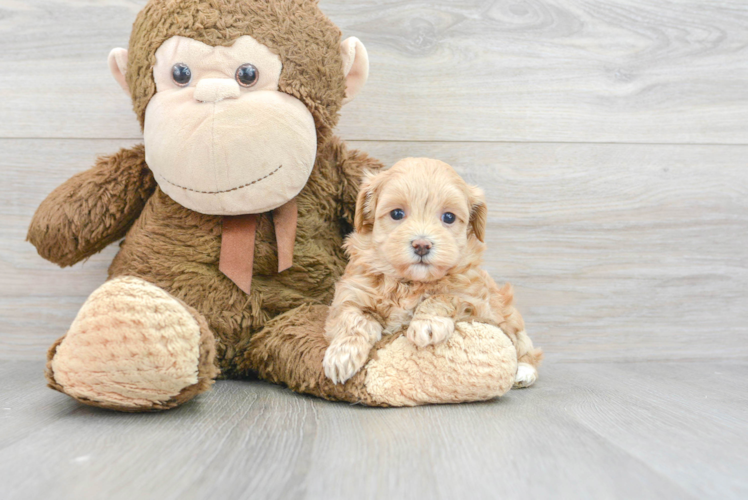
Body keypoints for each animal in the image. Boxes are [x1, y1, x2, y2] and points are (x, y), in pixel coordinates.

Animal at [322, 158, 544, 384]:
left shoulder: (476, 301)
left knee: (523, 343)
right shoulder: (352, 293)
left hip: (507, 313)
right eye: (397, 214)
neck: (408, 283)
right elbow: (354, 320)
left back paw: (524, 371)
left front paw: (426, 324)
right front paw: (341, 356)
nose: (422, 245)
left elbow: (443, 296)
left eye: (449, 217)